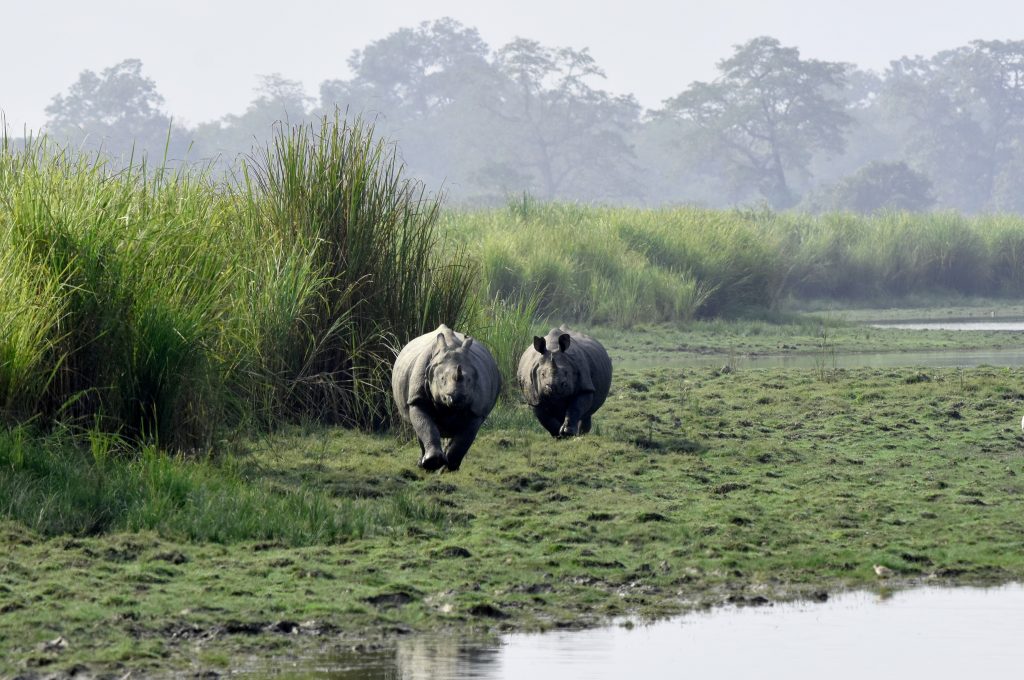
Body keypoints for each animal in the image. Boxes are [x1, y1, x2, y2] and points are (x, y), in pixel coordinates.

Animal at [392, 324, 500, 471]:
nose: (457, 397)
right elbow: (426, 426)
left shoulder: (476, 411)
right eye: (442, 379)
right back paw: (422, 464)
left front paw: (450, 466)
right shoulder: (416, 399)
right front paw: (433, 462)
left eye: (469, 380)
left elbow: (464, 439)